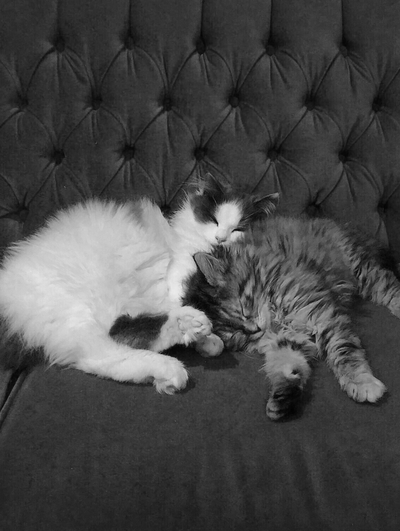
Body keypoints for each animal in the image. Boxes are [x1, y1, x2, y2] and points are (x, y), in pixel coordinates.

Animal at [0, 176, 276, 394]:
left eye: (238, 229)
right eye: (214, 221)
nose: (220, 239)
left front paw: (206, 340)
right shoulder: (173, 278)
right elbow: (175, 302)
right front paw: (204, 335)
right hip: (79, 309)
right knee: (106, 351)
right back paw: (176, 355)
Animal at [184, 215, 396, 420]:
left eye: (244, 308)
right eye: (237, 333)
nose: (255, 330)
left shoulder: (322, 315)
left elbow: (344, 350)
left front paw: (362, 382)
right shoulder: (288, 340)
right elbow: (289, 365)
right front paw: (283, 397)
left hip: (362, 271)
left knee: (389, 286)